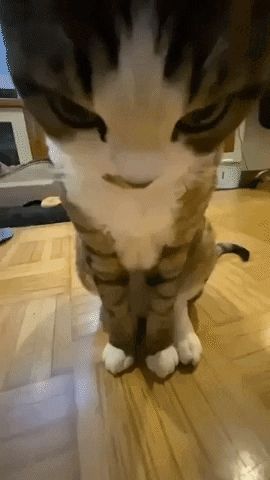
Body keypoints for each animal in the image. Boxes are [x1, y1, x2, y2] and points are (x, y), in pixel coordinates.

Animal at [1, 0, 268, 376]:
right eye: (70, 110)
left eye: (205, 116)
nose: (136, 177)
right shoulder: (95, 240)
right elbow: (113, 296)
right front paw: (121, 343)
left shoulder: (180, 235)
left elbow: (167, 298)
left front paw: (161, 346)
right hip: (81, 258)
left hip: (203, 240)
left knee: (180, 299)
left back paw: (183, 337)